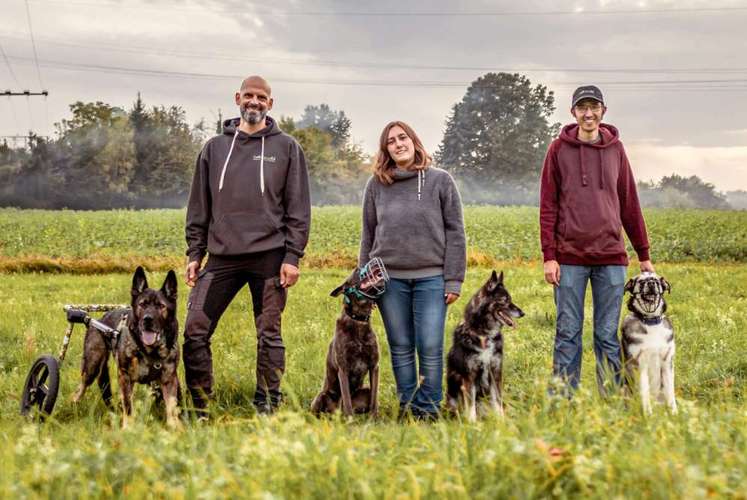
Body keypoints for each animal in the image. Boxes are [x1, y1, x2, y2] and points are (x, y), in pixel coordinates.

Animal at [72, 268, 181, 428]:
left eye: (161, 306)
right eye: (142, 304)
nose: (147, 320)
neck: (151, 351)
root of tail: (97, 320)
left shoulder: (168, 379)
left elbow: (172, 407)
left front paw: (175, 428)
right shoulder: (125, 377)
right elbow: (128, 406)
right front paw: (128, 427)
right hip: (91, 366)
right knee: (80, 389)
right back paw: (73, 405)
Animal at [310, 268, 380, 416]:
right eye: (357, 271)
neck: (358, 320)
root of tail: (333, 413)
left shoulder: (374, 366)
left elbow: (374, 399)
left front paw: (374, 418)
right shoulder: (343, 369)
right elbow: (346, 400)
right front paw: (349, 420)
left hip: (364, 390)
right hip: (321, 396)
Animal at [624, 274, 676, 414]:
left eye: (656, 280)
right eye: (641, 281)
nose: (651, 283)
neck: (650, 322)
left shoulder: (667, 362)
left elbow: (670, 392)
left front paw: (674, 414)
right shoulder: (639, 364)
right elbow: (644, 392)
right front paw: (647, 414)